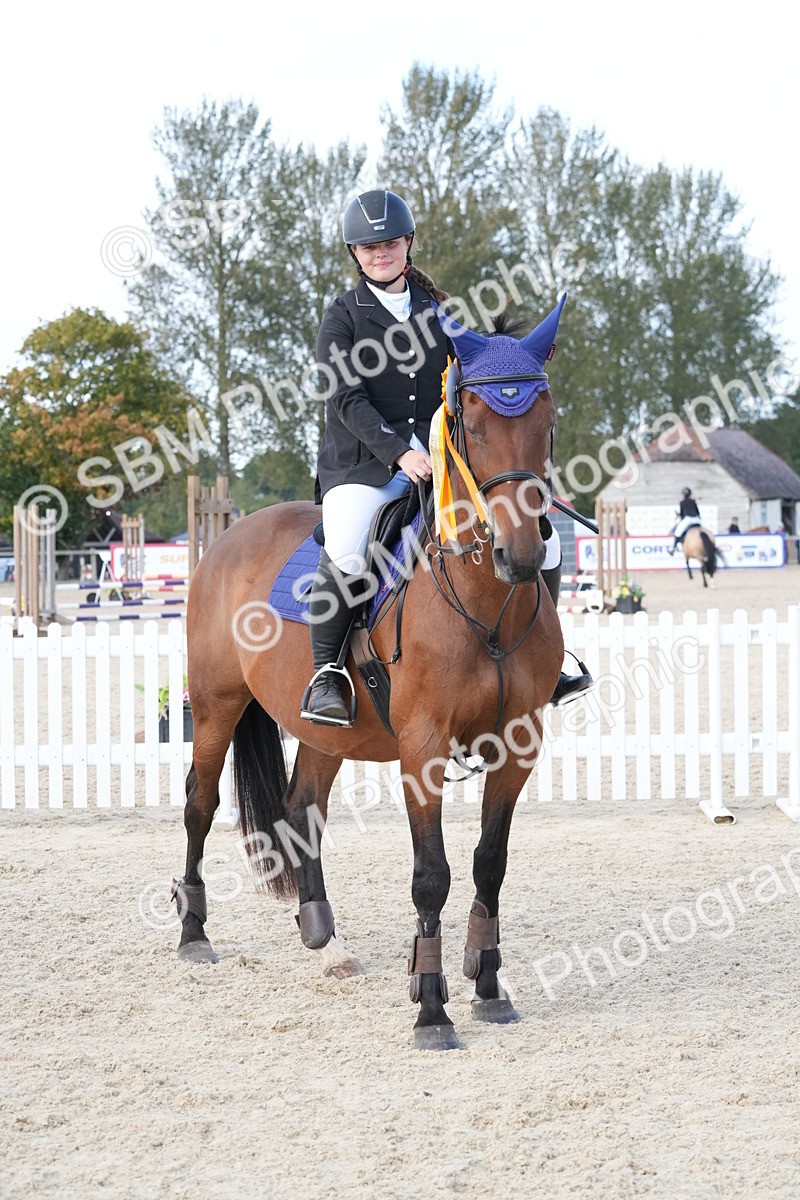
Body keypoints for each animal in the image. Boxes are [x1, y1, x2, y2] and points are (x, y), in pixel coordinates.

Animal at [172, 297, 567, 1051]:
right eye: (471, 424)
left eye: (547, 421)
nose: (522, 555)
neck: (485, 605)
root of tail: (229, 533)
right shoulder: (422, 749)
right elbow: (432, 876)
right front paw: (432, 1009)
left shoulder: (517, 746)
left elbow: (490, 863)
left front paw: (488, 987)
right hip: (216, 706)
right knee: (200, 805)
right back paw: (192, 934)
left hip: (326, 730)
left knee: (302, 808)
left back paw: (325, 941)